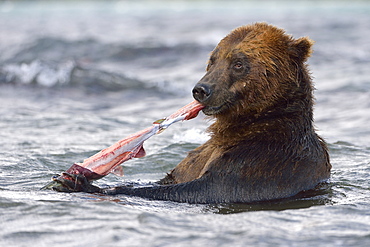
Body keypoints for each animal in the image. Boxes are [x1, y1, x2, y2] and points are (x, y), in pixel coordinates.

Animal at [67, 22, 332, 204]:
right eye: (213, 60)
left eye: (238, 63)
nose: (201, 89)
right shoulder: (198, 158)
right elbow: (173, 177)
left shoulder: (261, 161)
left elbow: (205, 188)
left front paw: (89, 184)